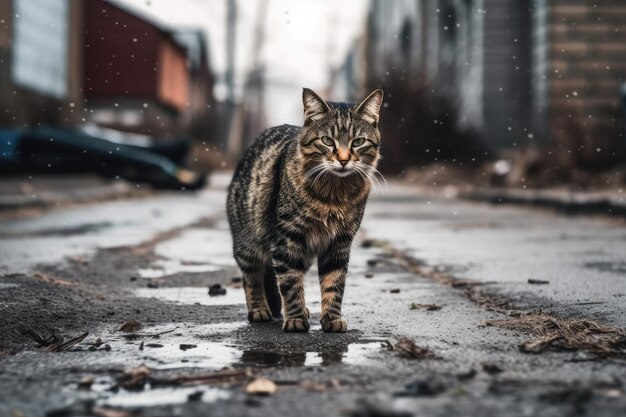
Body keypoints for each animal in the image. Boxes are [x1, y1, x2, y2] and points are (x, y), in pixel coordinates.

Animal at [224, 88, 380, 332]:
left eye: (358, 142)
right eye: (327, 141)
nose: (344, 160)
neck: (333, 195)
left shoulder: (339, 243)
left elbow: (334, 284)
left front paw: (332, 318)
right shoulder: (286, 239)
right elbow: (290, 282)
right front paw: (295, 319)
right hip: (248, 243)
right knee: (253, 278)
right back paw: (259, 309)